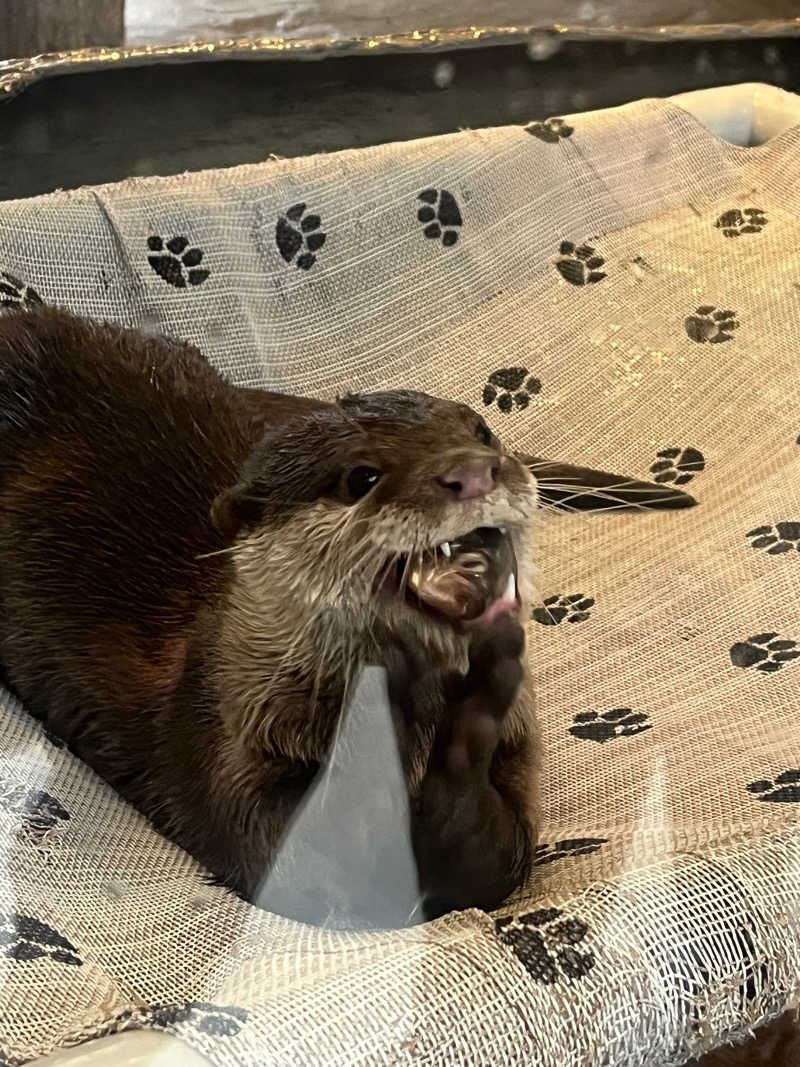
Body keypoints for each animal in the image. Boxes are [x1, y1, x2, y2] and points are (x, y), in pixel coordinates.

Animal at [0, 305, 695, 921]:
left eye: (481, 431)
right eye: (361, 477)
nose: (473, 470)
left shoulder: (518, 764)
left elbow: (490, 864)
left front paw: (473, 707)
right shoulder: (219, 739)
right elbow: (303, 856)